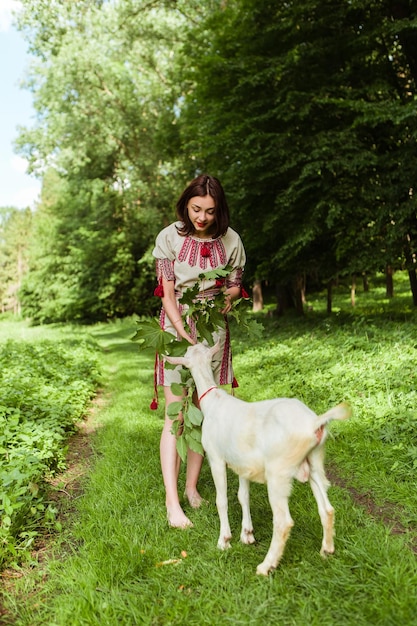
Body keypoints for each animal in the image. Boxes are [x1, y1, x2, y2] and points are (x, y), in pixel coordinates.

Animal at [167, 342, 352, 576]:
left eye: (187, 355)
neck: (213, 401)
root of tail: (314, 423)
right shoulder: (243, 463)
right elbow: (243, 496)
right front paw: (247, 534)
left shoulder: (216, 457)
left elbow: (222, 500)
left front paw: (224, 540)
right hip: (314, 461)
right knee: (327, 508)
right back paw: (326, 550)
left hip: (278, 471)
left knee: (283, 521)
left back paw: (266, 566)